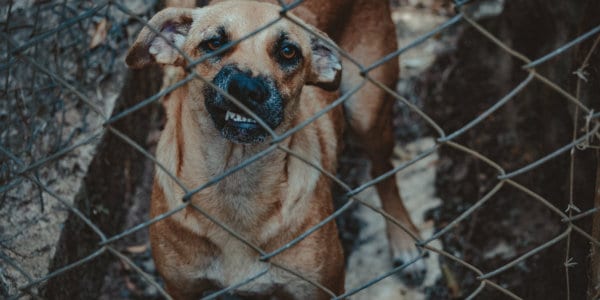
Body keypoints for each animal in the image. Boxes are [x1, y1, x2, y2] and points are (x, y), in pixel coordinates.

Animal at [127, 1, 426, 298]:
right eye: (214, 43)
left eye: (288, 51)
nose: (246, 88)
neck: (236, 182)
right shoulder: (181, 287)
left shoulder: (323, 286)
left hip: (368, 114)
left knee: (385, 174)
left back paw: (404, 241)